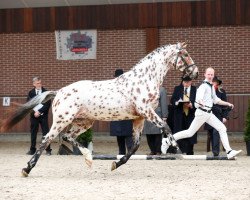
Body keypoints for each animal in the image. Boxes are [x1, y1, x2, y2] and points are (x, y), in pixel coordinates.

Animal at [0, 42, 198, 177]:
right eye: (185, 54)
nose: (195, 73)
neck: (144, 79)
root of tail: (59, 92)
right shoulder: (146, 111)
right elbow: (167, 127)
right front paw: (176, 149)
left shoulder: (139, 118)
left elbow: (134, 146)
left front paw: (116, 164)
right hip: (63, 120)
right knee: (47, 139)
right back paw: (27, 168)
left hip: (84, 122)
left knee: (68, 137)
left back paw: (88, 158)